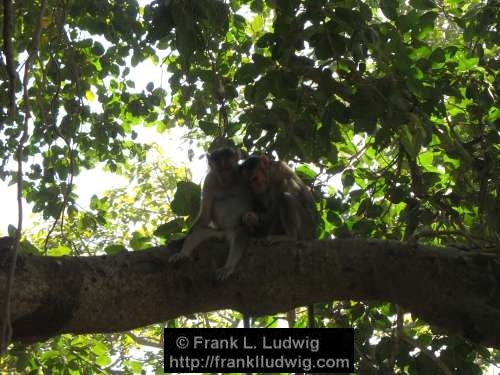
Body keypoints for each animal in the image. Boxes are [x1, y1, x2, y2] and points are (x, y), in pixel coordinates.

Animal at [170, 147, 258, 282]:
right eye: (220, 170)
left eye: (228, 168)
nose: (224, 177)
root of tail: (226, 233)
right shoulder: (209, 179)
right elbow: (205, 217)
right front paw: (181, 239)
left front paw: (251, 219)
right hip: (219, 232)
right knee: (199, 232)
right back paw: (183, 254)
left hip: (234, 229)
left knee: (240, 235)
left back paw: (228, 267)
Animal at [239, 154, 318, 328]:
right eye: (248, 182)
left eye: (255, 178)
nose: (255, 187)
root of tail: (314, 235)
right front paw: (251, 220)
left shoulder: (279, 175)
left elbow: (277, 205)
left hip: (305, 227)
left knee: (286, 198)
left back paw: (288, 237)